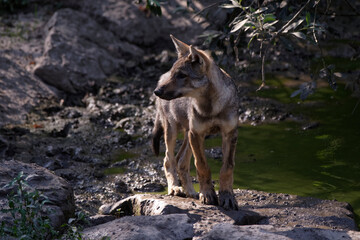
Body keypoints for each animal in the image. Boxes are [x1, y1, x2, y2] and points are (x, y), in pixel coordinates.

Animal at [152, 35, 239, 210]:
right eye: (174, 74)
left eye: (181, 75)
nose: (157, 91)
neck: (211, 107)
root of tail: (161, 76)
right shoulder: (197, 134)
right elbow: (202, 166)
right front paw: (207, 194)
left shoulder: (230, 134)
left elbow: (227, 168)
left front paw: (227, 196)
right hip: (173, 132)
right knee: (168, 159)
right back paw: (175, 188)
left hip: (188, 136)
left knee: (180, 161)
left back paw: (191, 192)